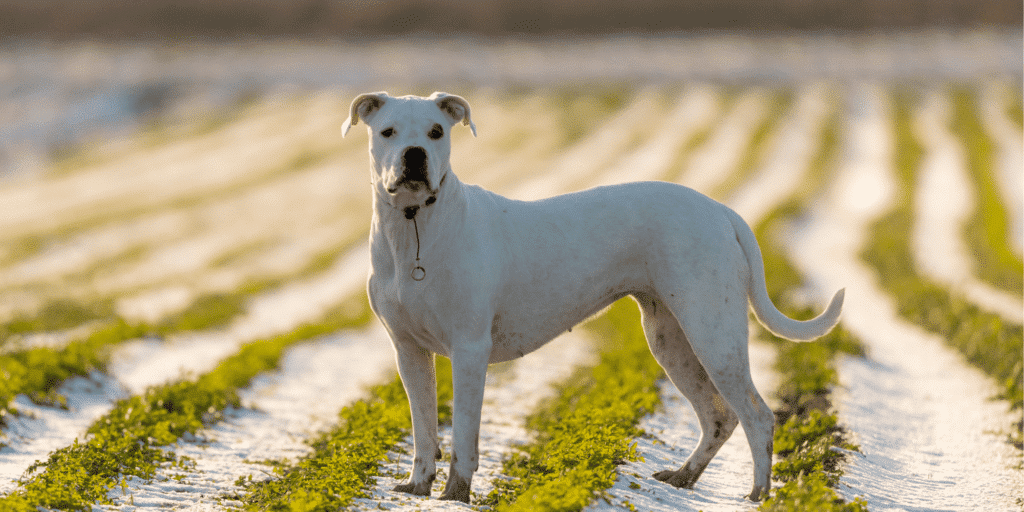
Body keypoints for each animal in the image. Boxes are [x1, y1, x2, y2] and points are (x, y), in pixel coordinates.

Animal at [339, 90, 843, 501]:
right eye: (387, 131)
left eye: (436, 132)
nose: (415, 155)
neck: (414, 228)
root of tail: (721, 210)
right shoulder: (409, 351)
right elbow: (423, 428)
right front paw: (418, 486)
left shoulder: (468, 349)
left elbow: (463, 432)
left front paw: (454, 495)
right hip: (670, 339)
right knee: (719, 416)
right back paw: (684, 477)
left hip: (712, 331)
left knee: (757, 414)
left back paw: (759, 493)